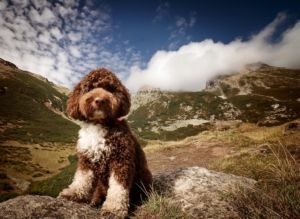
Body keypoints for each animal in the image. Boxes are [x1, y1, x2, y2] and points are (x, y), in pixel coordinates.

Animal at [57, 67, 154, 216]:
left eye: (109, 89)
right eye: (90, 88)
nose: (100, 100)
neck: (99, 124)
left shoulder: (121, 160)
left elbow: (118, 188)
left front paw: (113, 209)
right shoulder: (86, 159)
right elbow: (81, 179)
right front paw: (73, 194)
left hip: (143, 180)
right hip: (101, 186)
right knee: (99, 193)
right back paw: (95, 201)